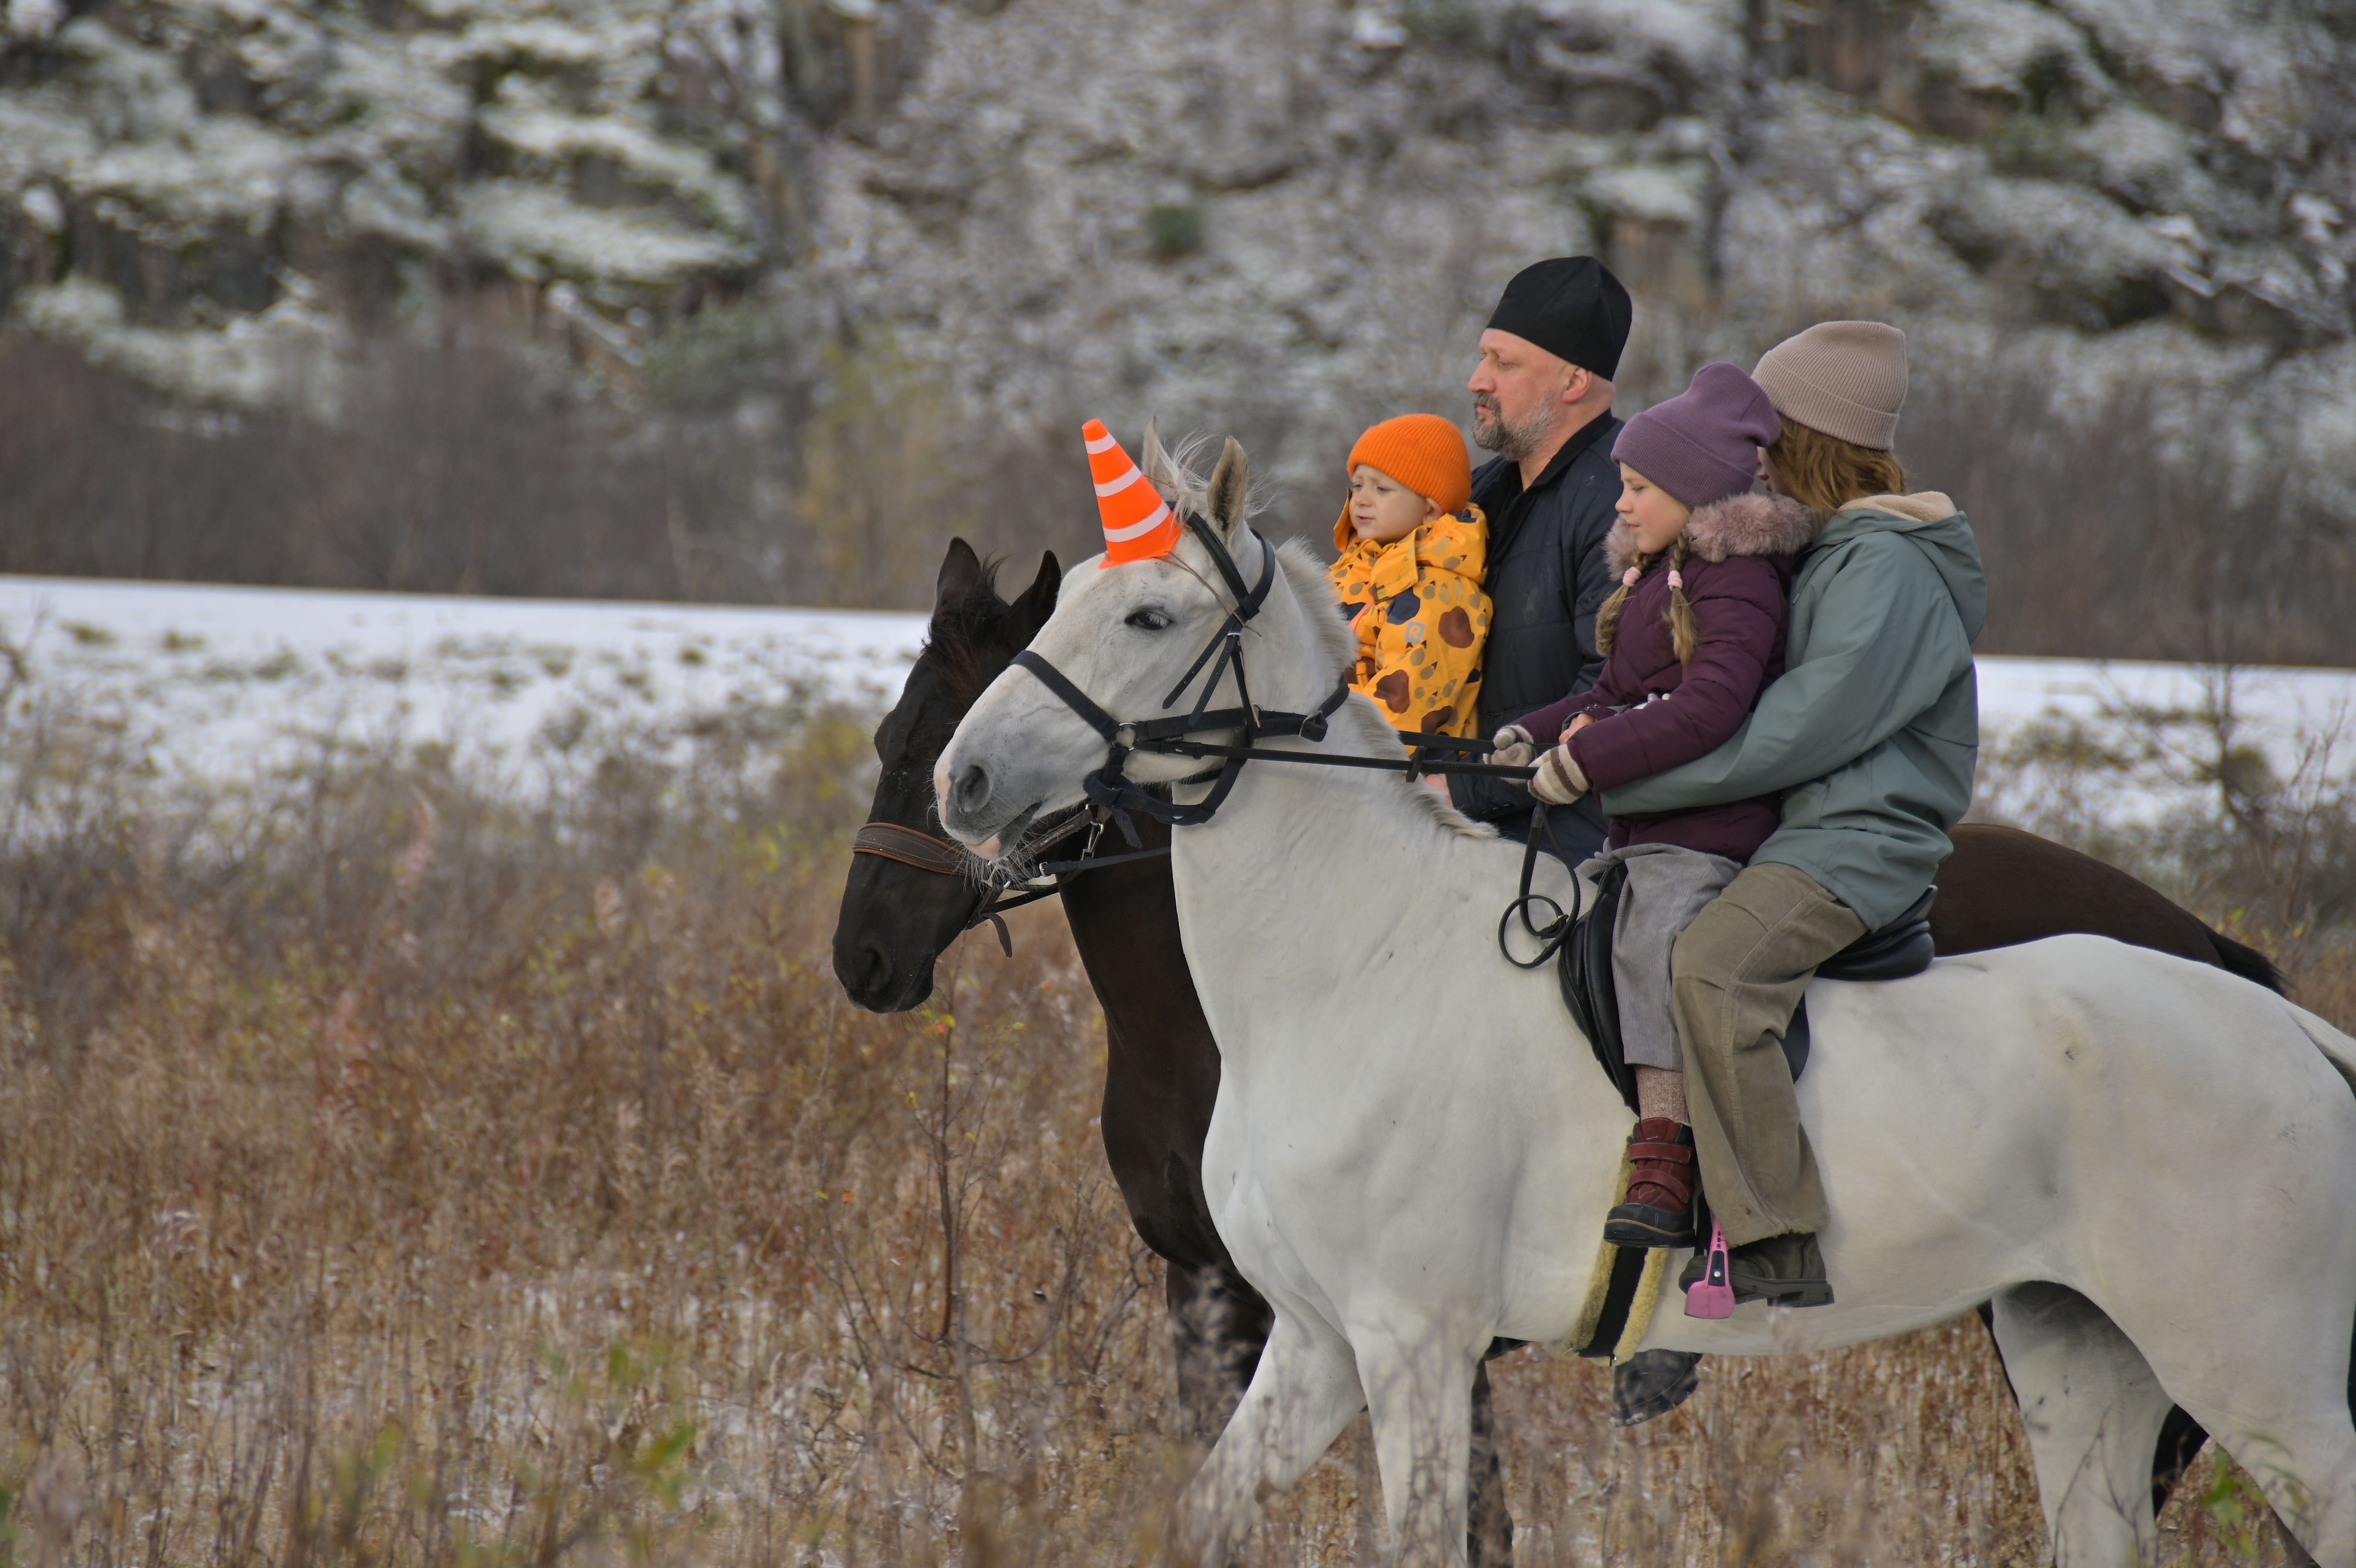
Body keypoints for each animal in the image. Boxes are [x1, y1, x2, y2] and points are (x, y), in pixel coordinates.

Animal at [938, 436, 2356, 1563]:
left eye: (1145, 619)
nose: (963, 778)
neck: (1349, 966)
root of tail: (2285, 1027)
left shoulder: (1414, 1346)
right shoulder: (1313, 1344)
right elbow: (1199, 1516)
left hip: (2256, 1379)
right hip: (2080, 1357)